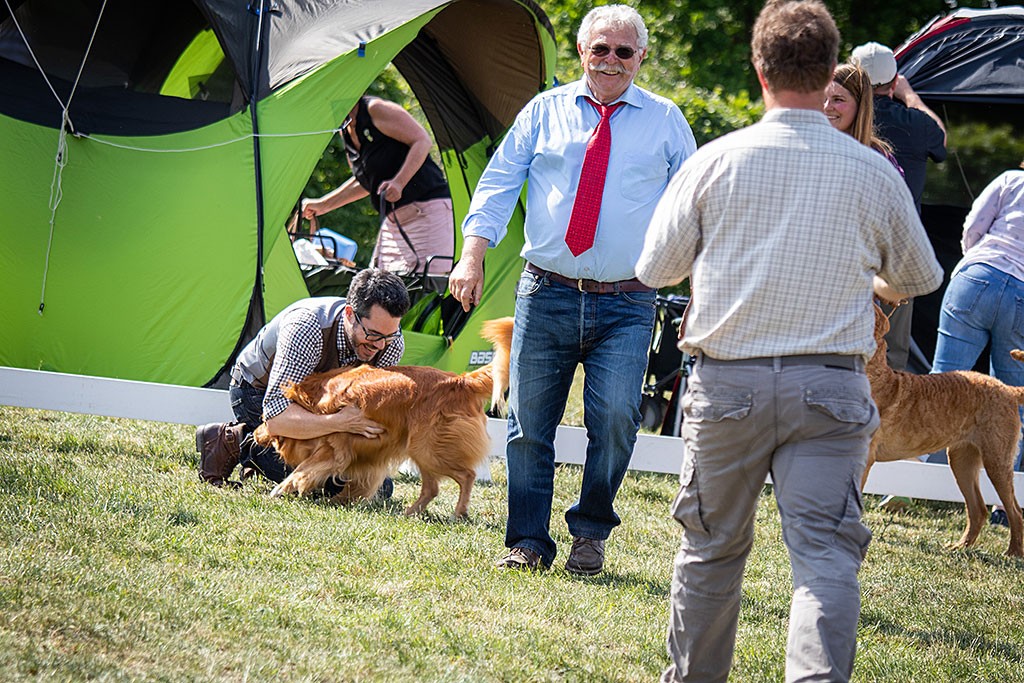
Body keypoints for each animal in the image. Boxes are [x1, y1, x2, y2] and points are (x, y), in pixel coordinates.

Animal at [252, 319, 516, 518]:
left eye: (264, 418)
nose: (253, 433)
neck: (317, 397)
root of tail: (460, 381)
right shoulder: (362, 457)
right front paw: (340, 500)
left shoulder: (335, 449)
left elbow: (303, 469)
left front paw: (282, 489)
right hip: (422, 451)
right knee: (432, 488)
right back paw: (410, 513)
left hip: (429, 449)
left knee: (466, 476)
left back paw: (458, 513)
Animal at [864, 301, 1024, 557]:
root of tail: (1008, 389)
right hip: (962, 459)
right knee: (978, 509)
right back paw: (959, 547)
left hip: (997, 459)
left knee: (1015, 511)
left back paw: (1013, 553)